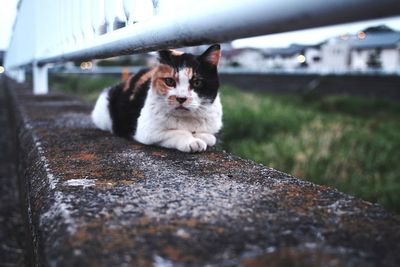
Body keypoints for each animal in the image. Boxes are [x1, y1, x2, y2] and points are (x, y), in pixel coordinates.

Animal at [90, 44, 222, 153]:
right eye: (170, 81)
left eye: (197, 83)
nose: (181, 98)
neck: (186, 120)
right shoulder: (147, 131)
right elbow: (178, 132)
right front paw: (192, 141)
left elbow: (211, 137)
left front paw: (203, 136)